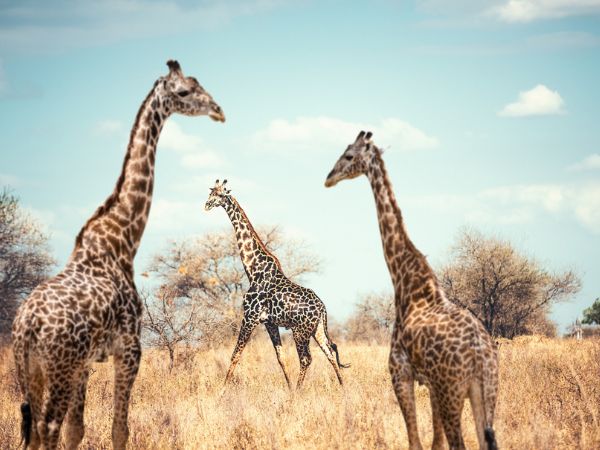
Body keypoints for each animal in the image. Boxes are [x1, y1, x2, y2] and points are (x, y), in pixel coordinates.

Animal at [11, 60, 227, 450]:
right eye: (185, 91)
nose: (218, 110)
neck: (123, 239)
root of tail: (27, 325)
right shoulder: (129, 348)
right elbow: (119, 428)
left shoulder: (87, 362)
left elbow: (77, 429)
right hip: (60, 366)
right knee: (47, 426)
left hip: (30, 370)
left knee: (35, 430)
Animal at [204, 179, 350, 390]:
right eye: (210, 192)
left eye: (221, 194)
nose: (206, 205)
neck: (253, 269)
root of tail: (322, 308)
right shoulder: (269, 322)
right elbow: (281, 358)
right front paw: (288, 388)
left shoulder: (249, 317)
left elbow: (235, 355)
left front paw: (222, 390)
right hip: (318, 329)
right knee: (329, 353)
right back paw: (343, 388)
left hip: (300, 331)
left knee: (307, 358)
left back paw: (299, 391)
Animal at [326, 131, 500, 450]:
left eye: (348, 155)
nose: (329, 178)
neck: (406, 280)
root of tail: (481, 356)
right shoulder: (429, 384)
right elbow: (434, 443)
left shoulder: (400, 373)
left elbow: (416, 441)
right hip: (486, 391)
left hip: (452, 391)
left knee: (460, 443)